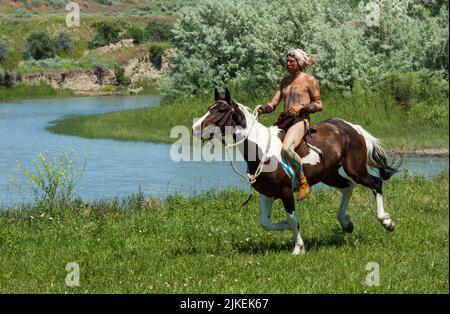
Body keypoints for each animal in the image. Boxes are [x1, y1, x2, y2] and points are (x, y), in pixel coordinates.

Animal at [192, 89, 400, 255]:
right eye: (209, 108)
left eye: (221, 110)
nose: (195, 128)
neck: (262, 151)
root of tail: (352, 128)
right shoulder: (266, 194)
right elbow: (265, 223)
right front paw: (285, 228)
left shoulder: (285, 191)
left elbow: (292, 219)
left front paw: (298, 248)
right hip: (329, 175)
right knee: (347, 187)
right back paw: (346, 223)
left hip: (356, 170)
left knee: (376, 183)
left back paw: (386, 222)